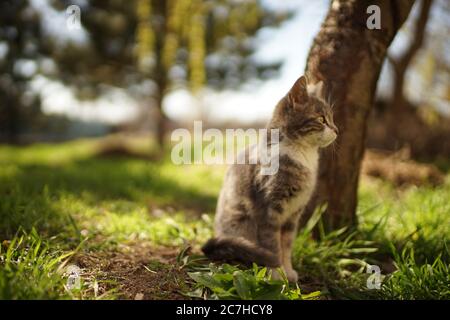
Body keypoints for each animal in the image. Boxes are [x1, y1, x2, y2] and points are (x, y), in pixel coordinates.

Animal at [201, 75, 338, 282]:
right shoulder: (268, 209)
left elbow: (287, 244)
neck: (303, 155)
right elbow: (272, 244)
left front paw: (288, 271)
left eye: (332, 118)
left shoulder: (293, 214)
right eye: (322, 119)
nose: (337, 130)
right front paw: (276, 271)